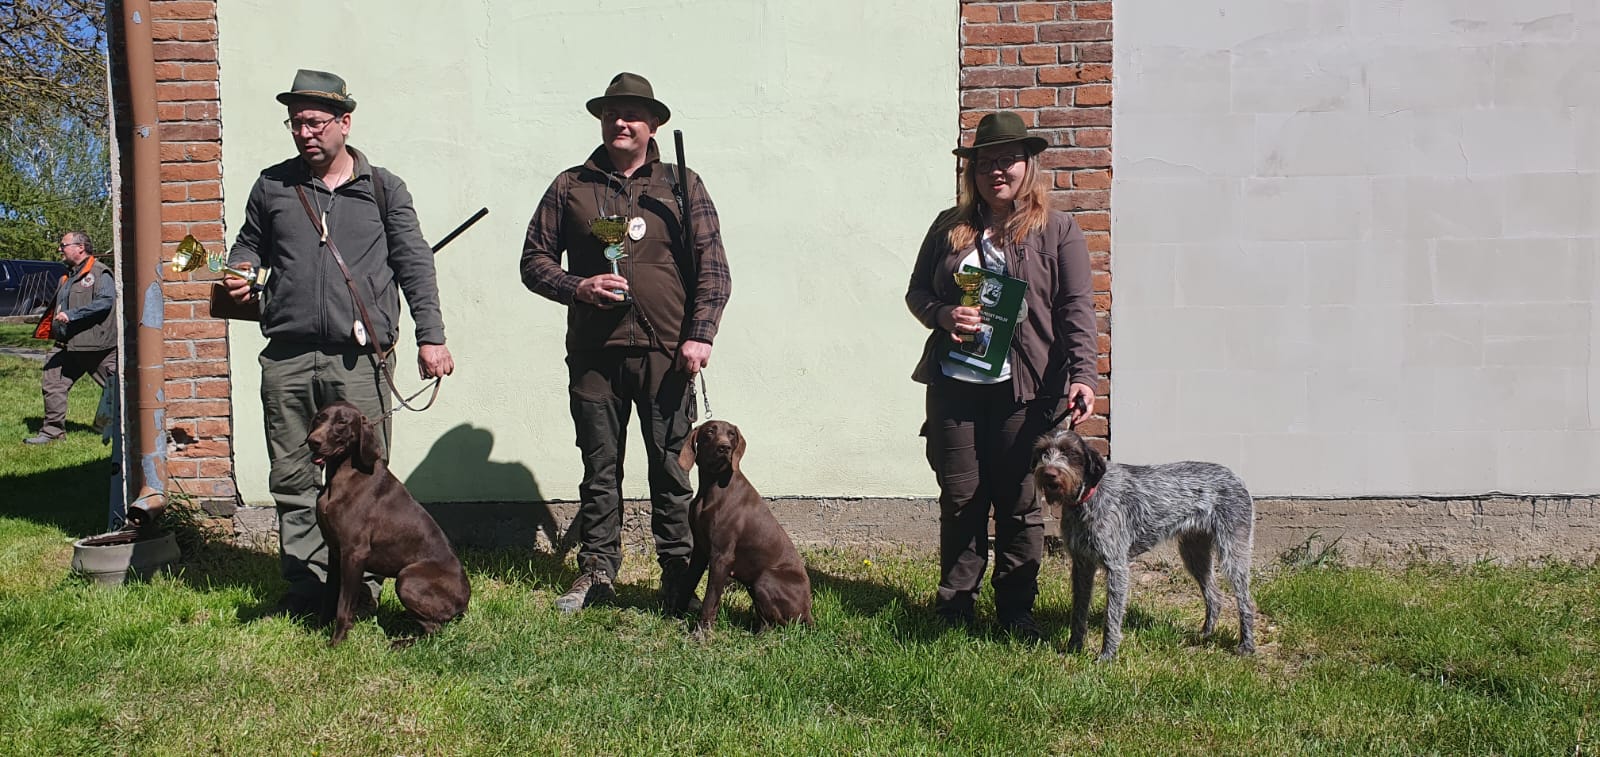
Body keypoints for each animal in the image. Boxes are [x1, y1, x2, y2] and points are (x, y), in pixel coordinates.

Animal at [305, 401, 467, 643]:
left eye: (342, 422)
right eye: (319, 418)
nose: (312, 441)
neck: (341, 476)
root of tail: (465, 601)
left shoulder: (354, 553)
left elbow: (344, 605)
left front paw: (336, 642)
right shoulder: (335, 551)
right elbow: (330, 597)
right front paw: (318, 631)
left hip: (407, 578)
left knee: (434, 630)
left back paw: (401, 643)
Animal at [675, 419, 812, 630]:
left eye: (731, 434)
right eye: (710, 431)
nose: (724, 447)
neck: (712, 486)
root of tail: (809, 612)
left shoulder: (722, 556)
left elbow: (710, 599)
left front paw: (702, 631)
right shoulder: (700, 549)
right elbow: (688, 583)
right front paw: (675, 615)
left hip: (764, 578)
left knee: (778, 624)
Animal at [1030, 428, 1254, 659]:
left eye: (1070, 452)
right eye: (1043, 451)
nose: (1049, 473)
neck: (1087, 500)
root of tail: (1236, 477)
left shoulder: (1116, 567)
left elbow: (1111, 617)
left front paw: (1107, 655)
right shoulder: (1082, 566)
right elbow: (1079, 610)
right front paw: (1073, 647)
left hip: (1232, 553)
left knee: (1245, 601)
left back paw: (1246, 645)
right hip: (1194, 553)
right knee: (1214, 596)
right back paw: (1206, 634)